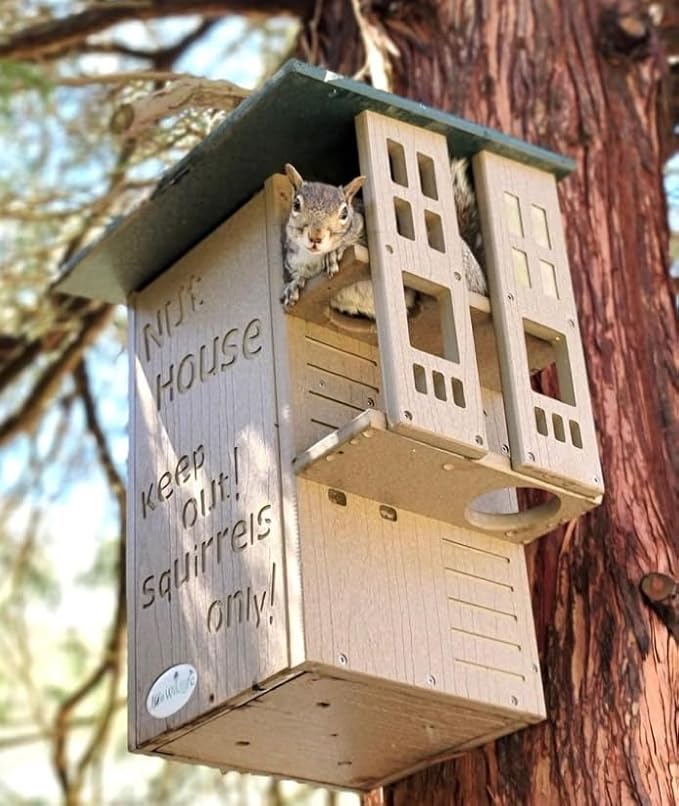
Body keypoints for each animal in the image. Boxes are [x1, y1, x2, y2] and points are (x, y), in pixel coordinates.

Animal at [281, 159, 487, 318]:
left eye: (345, 213)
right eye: (296, 205)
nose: (316, 237)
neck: (313, 257)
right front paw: (295, 284)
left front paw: (335, 252)